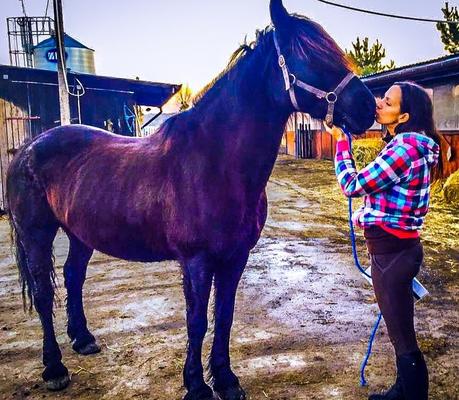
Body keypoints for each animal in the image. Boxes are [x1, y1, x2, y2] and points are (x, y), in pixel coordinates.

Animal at [5, 0, 376, 400]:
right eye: (308, 55)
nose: (368, 107)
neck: (215, 162)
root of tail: (28, 147)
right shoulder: (197, 261)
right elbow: (197, 321)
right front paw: (197, 385)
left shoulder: (235, 257)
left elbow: (225, 317)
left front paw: (226, 380)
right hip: (36, 234)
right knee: (43, 293)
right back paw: (54, 367)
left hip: (80, 234)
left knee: (73, 277)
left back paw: (83, 339)